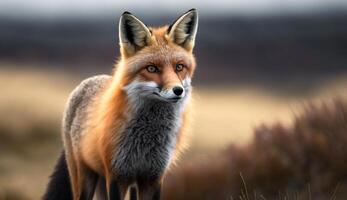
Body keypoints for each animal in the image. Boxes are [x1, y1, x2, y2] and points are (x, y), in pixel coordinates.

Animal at [42, 8, 198, 200]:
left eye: (179, 67)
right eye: (152, 68)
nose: (178, 90)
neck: (146, 140)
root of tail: (89, 80)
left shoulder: (153, 178)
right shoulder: (116, 175)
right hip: (85, 177)